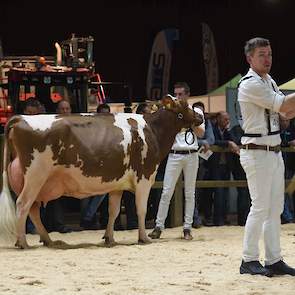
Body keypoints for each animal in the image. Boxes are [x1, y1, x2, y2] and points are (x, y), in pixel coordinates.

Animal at [0, 96, 204, 249]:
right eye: (184, 104)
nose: (201, 117)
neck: (152, 130)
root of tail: (20, 118)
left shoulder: (118, 184)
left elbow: (113, 210)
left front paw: (109, 238)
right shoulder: (144, 178)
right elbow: (141, 209)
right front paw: (144, 238)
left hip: (35, 181)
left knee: (33, 209)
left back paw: (48, 240)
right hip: (36, 175)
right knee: (23, 205)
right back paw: (23, 242)